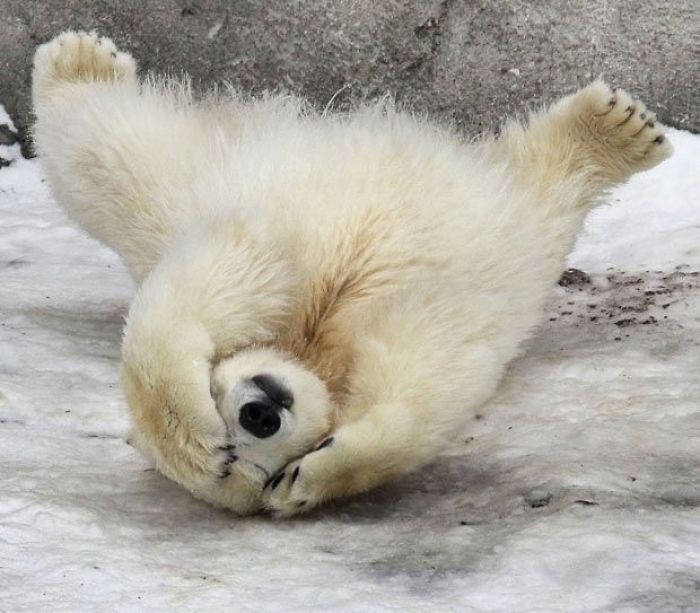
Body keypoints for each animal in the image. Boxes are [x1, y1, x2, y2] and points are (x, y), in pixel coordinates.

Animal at [31, 31, 672, 516]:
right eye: (250, 469)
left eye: (218, 400)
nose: (260, 411)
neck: (311, 345)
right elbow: (424, 369)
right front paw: (326, 471)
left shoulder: (269, 258)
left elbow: (221, 284)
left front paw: (188, 422)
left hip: (198, 183)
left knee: (114, 157)